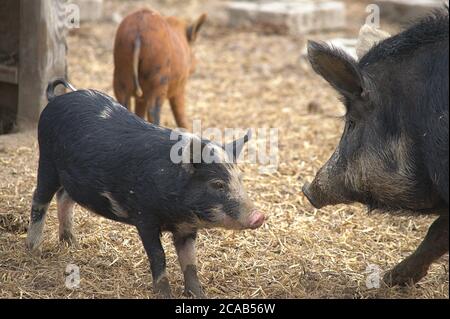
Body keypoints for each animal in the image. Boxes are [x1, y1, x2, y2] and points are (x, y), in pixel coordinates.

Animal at [26, 79, 266, 298]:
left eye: (240, 179)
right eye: (217, 184)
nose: (259, 216)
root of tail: (56, 99)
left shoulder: (186, 229)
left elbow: (190, 261)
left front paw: (198, 295)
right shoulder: (144, 217)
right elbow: (158, 256)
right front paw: (164, 294)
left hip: (74, 179)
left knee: (64, 197)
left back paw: (71, 244)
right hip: (47, 161)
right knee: (39, 200)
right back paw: (34, 250)